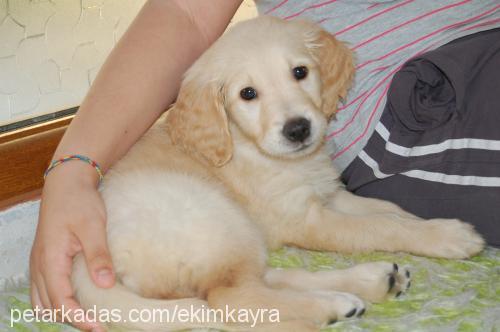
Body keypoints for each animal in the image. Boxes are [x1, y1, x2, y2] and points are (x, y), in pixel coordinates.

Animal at [71, 16, 484, 332]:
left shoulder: (328, 193)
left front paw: (423, 223)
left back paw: (364, 286)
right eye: (247, 94)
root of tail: (82, 266)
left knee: (269, 279)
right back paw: (328, 306)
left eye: (300, 72)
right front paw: (446, 236)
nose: (298, 129)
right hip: (219, 222)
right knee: (232, 298)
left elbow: (387, 210)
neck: (250, 146)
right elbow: (378, 227)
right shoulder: (305, 219)